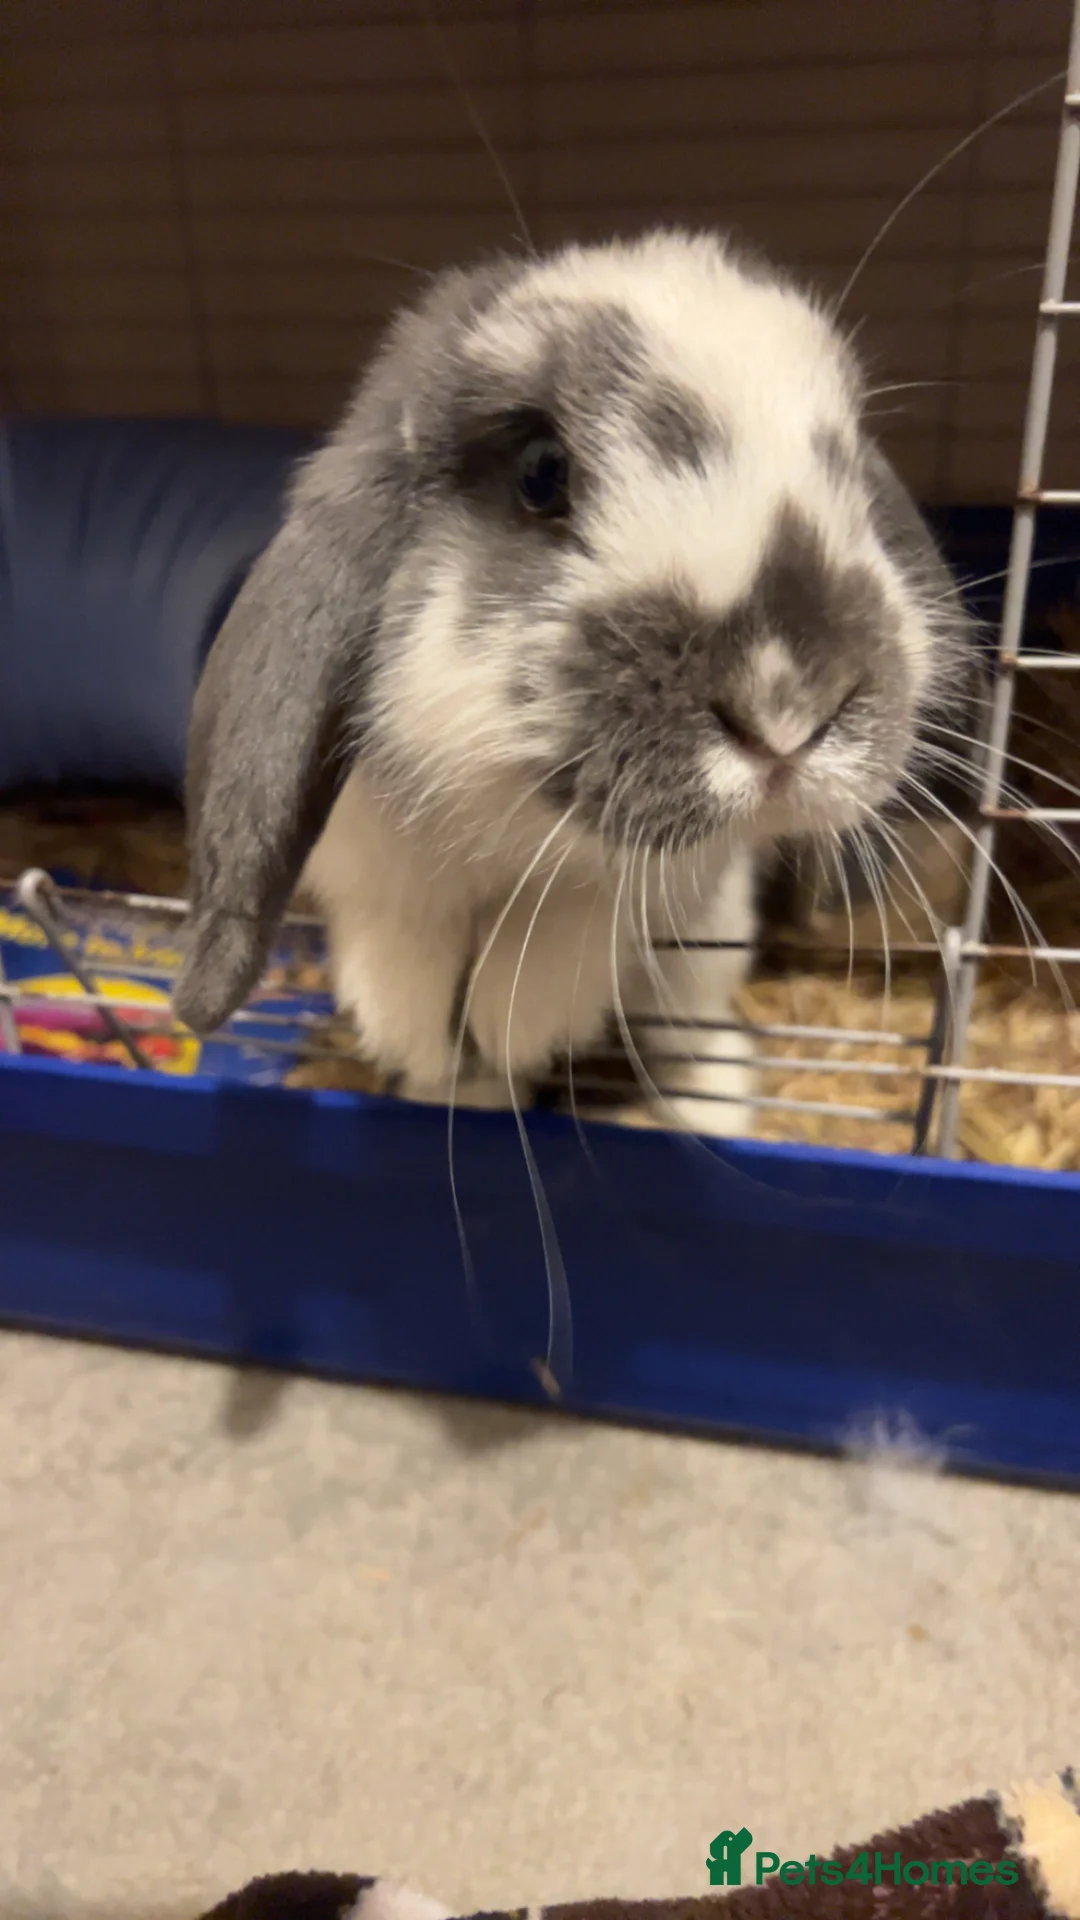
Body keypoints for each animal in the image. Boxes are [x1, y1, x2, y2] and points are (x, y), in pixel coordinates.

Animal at [174, 228, 978, 1136]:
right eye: (541, 472)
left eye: (848, 466)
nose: (790, 706)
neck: (512, 830)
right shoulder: (373, 872)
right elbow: (407, 943)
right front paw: (421, 1042)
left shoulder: (667, 886)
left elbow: (577, 923)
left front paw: (514, 1022)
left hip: (703, 961)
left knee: (695, 1035)